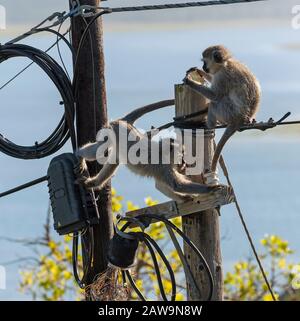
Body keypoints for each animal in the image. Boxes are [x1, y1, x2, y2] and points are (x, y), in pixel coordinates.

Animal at [75, 100, 220, 201]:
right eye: (182, 156)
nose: (183, 163)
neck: (163, 151)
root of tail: (124, 122)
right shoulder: (163, 166)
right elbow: (176, 185)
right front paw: (210, 189)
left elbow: (160, 186)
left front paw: (183, 198)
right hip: (111, 131)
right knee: (100, 149)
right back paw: (79, 154)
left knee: (112, 162)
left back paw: (93, 182)